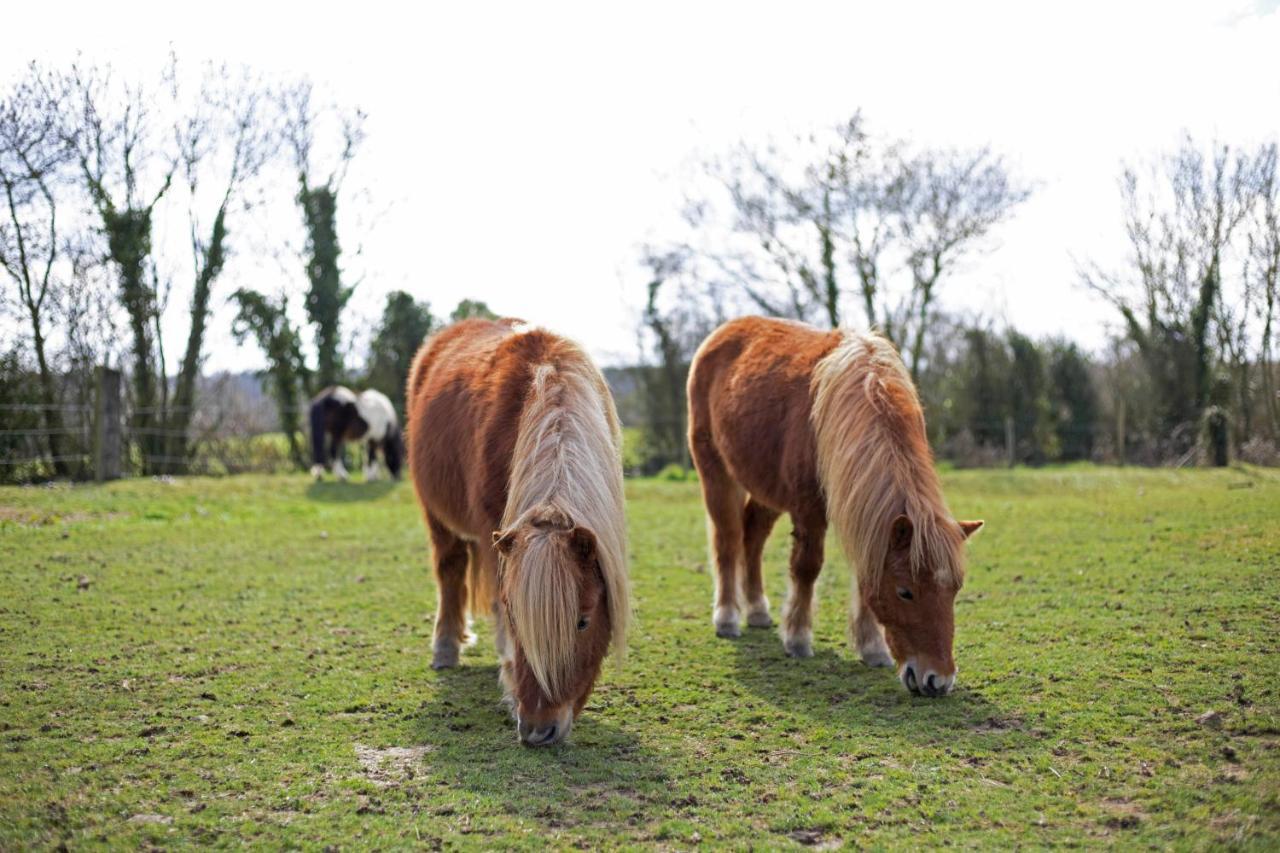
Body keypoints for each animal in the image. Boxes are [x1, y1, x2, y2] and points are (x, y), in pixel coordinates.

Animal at [409, 315, 629, 742]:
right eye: (516, 620)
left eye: (583, 621)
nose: (537, 730)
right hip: (436, 514)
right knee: (450, 569)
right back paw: (445, 647)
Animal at [691, 315, 977, 696]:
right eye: (905, 592)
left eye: (955, 589)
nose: (937, 681)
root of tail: (725, 330)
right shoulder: (809, 510)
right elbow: (806, 568)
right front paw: (798, 638)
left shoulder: (865, 519)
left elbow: (864, 575)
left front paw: (871, 647)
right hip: (716, 472)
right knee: (727, 541)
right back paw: (727, 617)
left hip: (767, 487)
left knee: (752, 537)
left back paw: (757, 610)